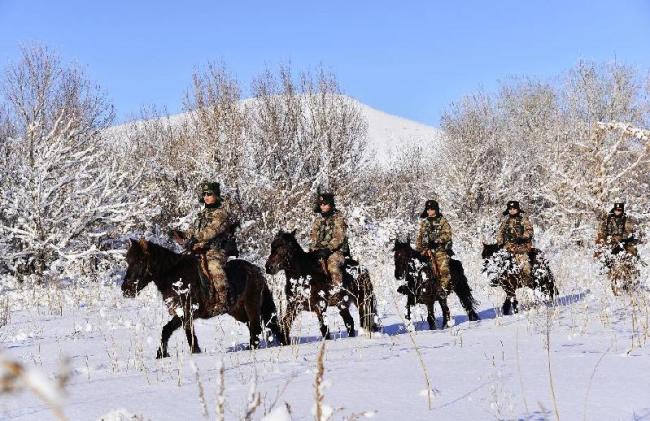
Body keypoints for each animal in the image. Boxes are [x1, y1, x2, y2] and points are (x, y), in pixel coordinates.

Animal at [121, 238, 284, 356]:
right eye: (128, 260)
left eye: (140, 261)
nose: (126, 290)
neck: (175, 277)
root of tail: (257, 271)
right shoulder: (184, 316)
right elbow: (182, 333)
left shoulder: (185, 313)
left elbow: (172, 331)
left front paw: (165, 354)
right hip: (238, 312)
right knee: (258, 327)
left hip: (252, 306)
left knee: (256, 328)